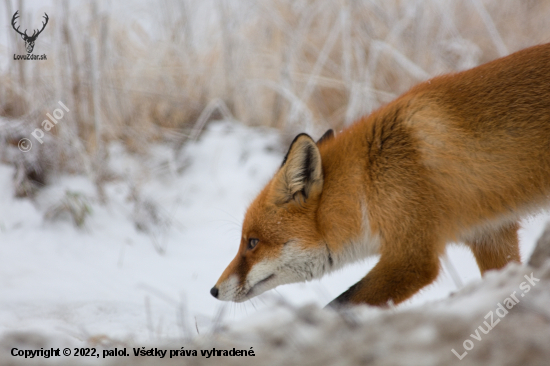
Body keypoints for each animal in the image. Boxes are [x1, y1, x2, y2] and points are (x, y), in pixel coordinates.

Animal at [210, 43, 550, 308]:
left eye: (252, 242)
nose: (213, 291)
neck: (368, 180)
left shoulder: (412, 256)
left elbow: (340, 305)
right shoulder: (491, 234)